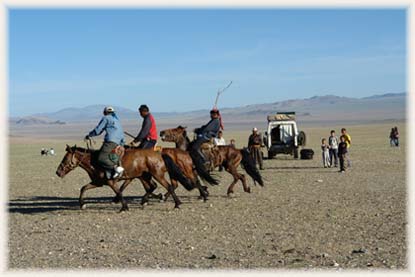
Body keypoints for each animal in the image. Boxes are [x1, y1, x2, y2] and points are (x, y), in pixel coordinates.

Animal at [55, 144, 193, 209]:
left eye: (65, 158)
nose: (58, 172)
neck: (94, 161)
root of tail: (160, 154)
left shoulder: (112, 182)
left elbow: (119, 191)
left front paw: (124, 206)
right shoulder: (98, 182)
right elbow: (83, 188)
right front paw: (82, 204)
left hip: (157, 174)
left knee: (168, 186)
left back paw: (176, 203)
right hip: (145, 176)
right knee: (152, 187)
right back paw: (150, 200)